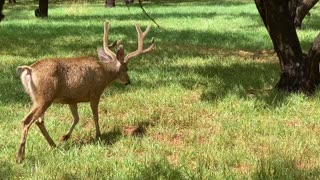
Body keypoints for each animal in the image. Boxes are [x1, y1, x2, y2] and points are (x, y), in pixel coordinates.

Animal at [15, 20, 155, 163]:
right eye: (126, 69)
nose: (128, 81)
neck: (105, 74)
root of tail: (29, 70)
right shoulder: (95, 93)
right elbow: (95, 115)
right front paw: (98, 135)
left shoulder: (72, 99)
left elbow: (76, 118)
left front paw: (65, 137)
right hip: (44, 96)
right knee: (26, 120)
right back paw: (20, 156)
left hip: (37, 98)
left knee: (39, 121)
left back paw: (53, 145)